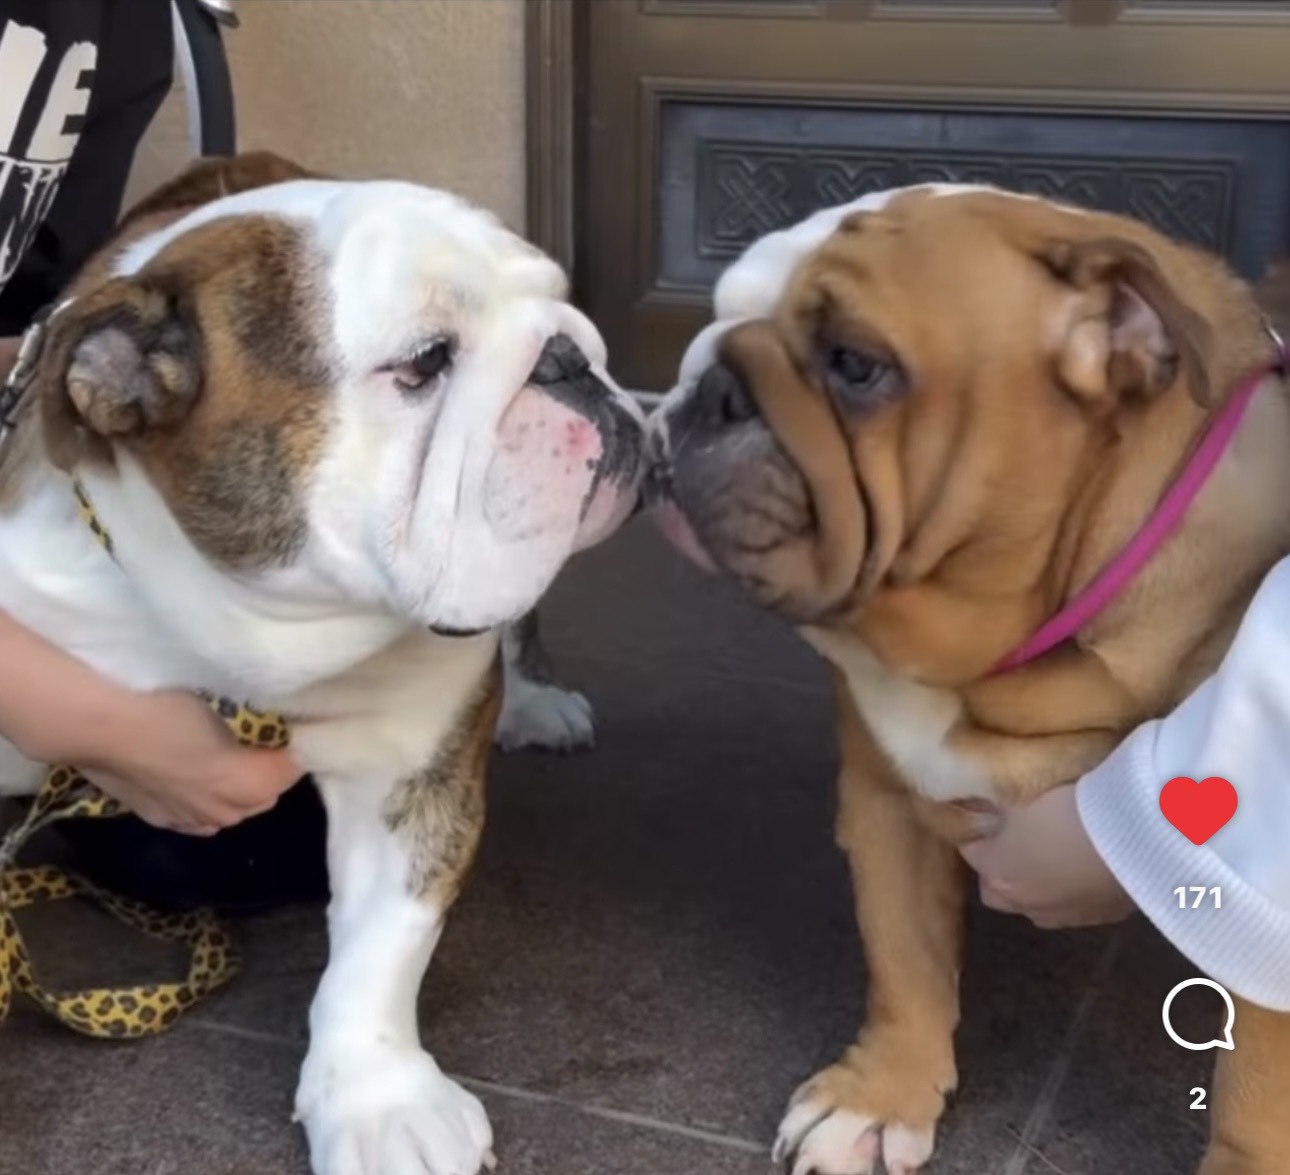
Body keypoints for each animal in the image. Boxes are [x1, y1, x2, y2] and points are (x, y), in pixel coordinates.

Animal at [0, 150, 644, 1175]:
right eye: (424, 362)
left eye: (559, 299)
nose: (569, 355)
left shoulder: (411, 777)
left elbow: (381, 951)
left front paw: (380, 1102)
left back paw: (536, 703)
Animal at [647, 183, 1290, 1175]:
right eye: (719, 311)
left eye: (855, 364)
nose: (704, 384)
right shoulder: (885, 796)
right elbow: (903, 955)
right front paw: (881, 1096)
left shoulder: (1252, 864)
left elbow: (1256, 1084)